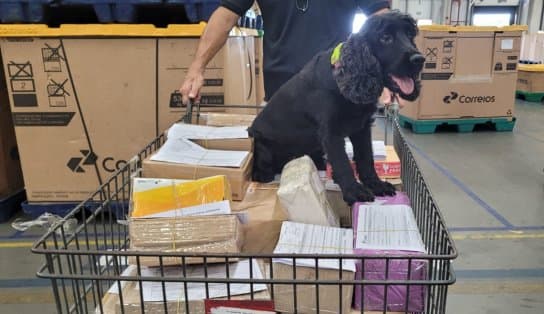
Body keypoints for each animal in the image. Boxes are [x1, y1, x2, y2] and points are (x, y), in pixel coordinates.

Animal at [249, 11, 422, 205]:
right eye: (385, 37)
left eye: (410, 35)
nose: (419, 59)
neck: (345, 77)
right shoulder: (331, 133)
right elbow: (343, 163)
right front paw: (354, 191)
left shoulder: (362, 128)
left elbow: (366, 158)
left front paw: (376, 184)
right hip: (262, 144)